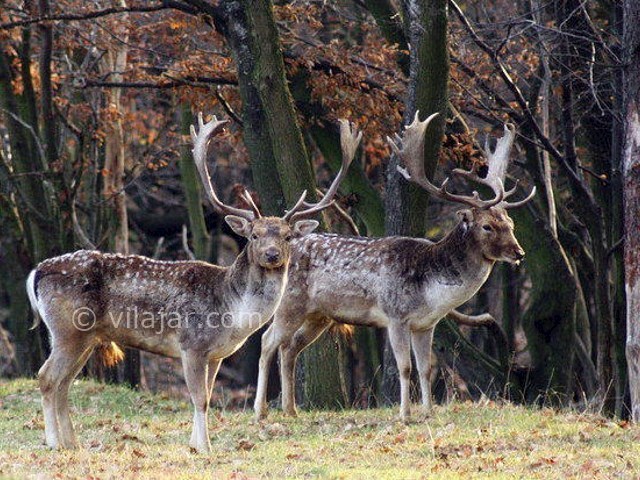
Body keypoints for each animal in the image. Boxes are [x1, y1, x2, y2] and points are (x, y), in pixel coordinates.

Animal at [25, 114, 362, 452]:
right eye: (254, 235)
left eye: (288, 236)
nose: (271, 254)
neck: (233, 314)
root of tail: (37, 271)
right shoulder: (192, 344)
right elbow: (200, 399)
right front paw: (205, 447)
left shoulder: (216, 355)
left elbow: (208, 397)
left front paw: (194, 445)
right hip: (68, 329)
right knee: (46, 377)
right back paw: (53, 442)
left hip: (86, 337)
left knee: (64, 383)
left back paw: (71, 443)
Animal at [255, 110, 536, 422]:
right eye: (487, 226)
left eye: (510, 223)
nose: (519, 252)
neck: (432, 292)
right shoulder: (396, 316)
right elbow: (405, 367)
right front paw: (405, 415)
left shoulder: (426, 325)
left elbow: (425, 369)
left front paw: (428, 413)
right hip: (289, 303)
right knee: (267, 341)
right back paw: (261, 411)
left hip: (319, 315)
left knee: (289, 347)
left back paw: (290, 410)